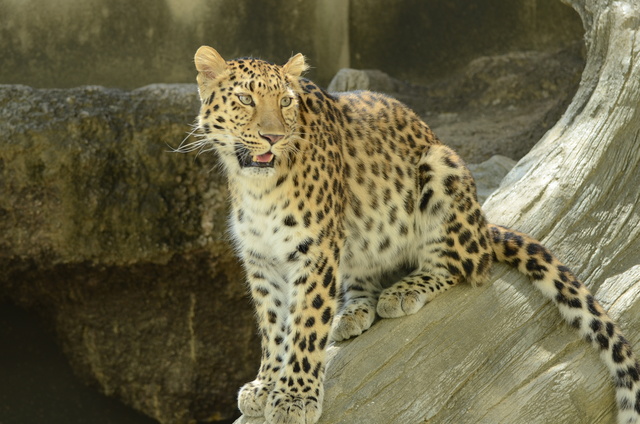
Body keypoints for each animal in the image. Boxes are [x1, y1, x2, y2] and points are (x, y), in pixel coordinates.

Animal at [186, 44, 640, 422]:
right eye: (246, 99)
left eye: (286, 101)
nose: (273, 137)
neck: (256, 186)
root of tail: (483, 223)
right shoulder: (261, 259)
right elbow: (272, 327)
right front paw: (266, 385)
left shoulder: (314, 250)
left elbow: (305, 325)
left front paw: (295, 396)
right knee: (366, 278)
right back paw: (353, 311)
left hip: (441, 167)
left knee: (464, 267)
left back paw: (403, 291)